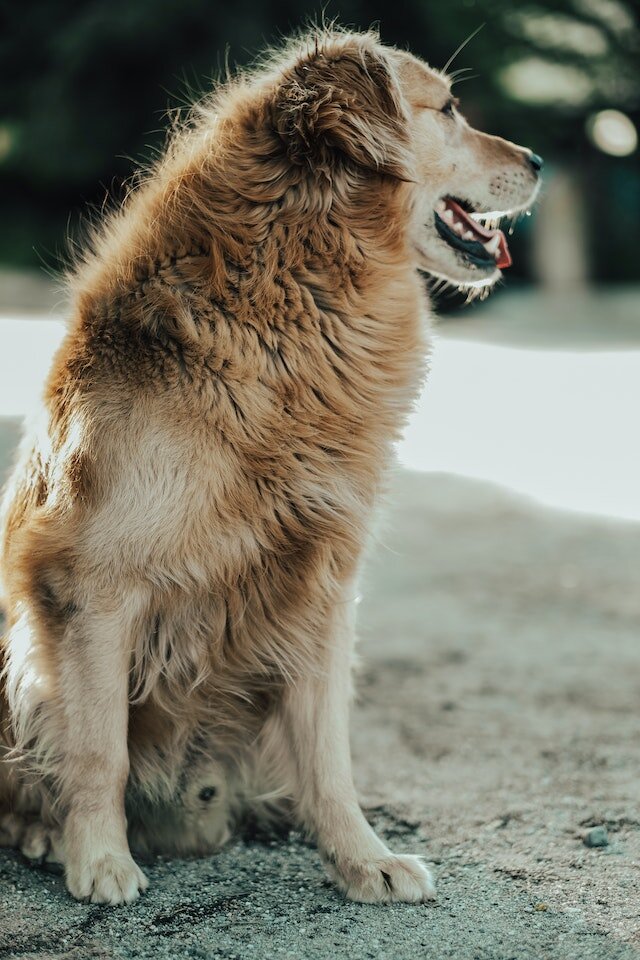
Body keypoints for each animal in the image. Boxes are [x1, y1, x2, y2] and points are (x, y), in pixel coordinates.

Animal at [0, 26, 540, 904]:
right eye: (450, 109)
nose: (539, 159)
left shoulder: (320, 583)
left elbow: (328, 752)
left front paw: (362, 858)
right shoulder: (87, 580)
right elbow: (98, 743)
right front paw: (100, 858)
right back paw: (41, 832)